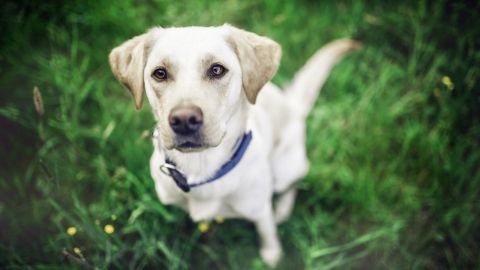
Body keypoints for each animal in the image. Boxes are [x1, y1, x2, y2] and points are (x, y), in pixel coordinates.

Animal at [108, 23, 356, 268]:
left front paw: (272, 254)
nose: (184, 120)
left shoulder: (260, 209)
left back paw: (282, 211)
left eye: (217, 70)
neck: (201, 168)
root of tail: (292, 106)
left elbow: (267, 232)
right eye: (160, 73)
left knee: (292, 187)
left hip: (286, 169)